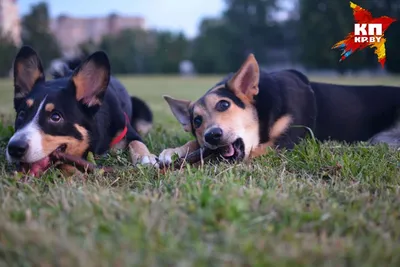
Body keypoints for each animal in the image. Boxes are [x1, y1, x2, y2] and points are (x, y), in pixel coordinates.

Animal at [6, 45, 156, 178]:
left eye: (56, 117)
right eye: (22, 114)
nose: (14, 148)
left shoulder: (127, 131)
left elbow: (136, 143)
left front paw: (146, 157)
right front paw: (74, 173)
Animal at [160, 53, 400, 164]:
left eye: (224, 104)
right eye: (197, 121)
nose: (212, 135)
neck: (263, 112)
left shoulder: (285, 142)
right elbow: (194, 145)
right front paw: (172, 151)